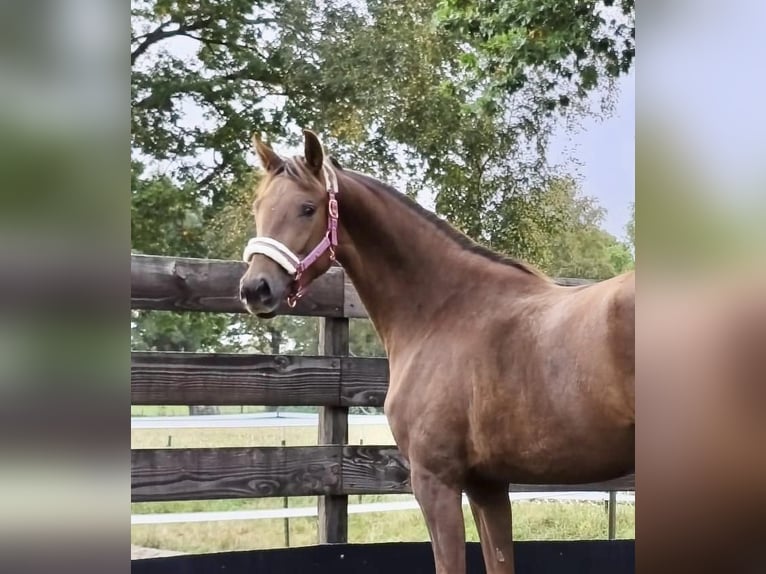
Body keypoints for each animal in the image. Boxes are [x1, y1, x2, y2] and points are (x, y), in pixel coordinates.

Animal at [239, 130, 635, 574]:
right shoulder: (487, 485)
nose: (255, 289)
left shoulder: (435, 481)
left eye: (307, 208)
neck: (443, 310)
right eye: (258, 206)